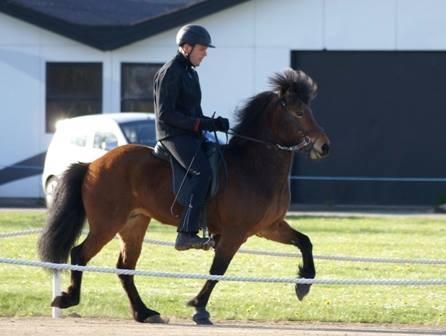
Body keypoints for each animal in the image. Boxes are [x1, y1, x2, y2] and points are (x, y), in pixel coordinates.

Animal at [38, 67, 330, 322]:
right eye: (299, 113)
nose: (324, 146)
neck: (255, 165)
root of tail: (92, 164)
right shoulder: (235, 233)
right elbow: (218, 270)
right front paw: (199, 306)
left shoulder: (268, 227)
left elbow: (305, 242)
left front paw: (304, 282)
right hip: (106, 224)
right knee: (80, 254)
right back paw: (68, 298)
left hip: (134, 223)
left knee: (124, 268)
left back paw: (144, 313)